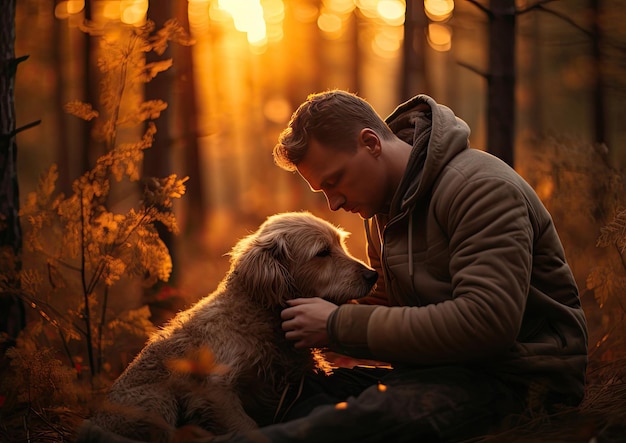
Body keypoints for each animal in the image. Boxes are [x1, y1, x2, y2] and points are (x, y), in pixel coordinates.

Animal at [80, 213, 378, 442]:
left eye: (340, 244)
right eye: (322, 253)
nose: (373, 275)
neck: (258, 315)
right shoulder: (215, 390)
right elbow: (249, 428)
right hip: (157, 402)